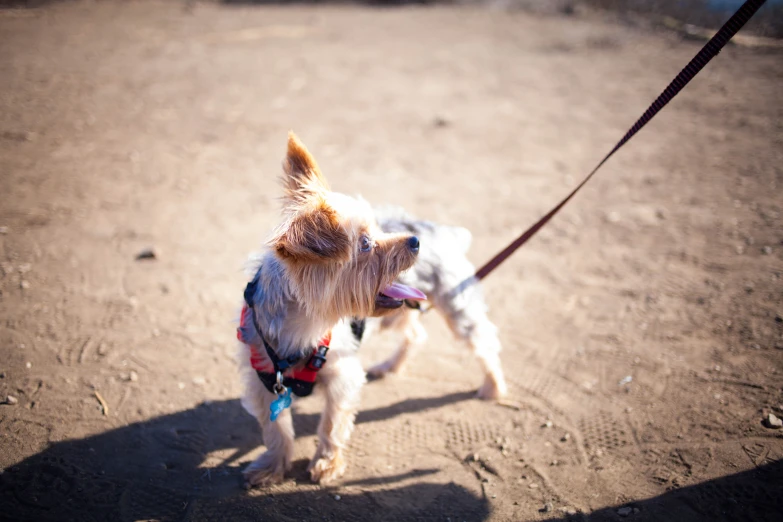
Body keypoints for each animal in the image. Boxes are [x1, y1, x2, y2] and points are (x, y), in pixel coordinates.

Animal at [239, 131, 426, 484]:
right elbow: (276, 429)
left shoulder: (342, 374)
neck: (304, 324)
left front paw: (326, 462)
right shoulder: (264, 382)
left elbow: (332, 422)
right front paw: (272, 466)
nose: (415, 240)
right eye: (364, 244)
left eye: (378, 229)